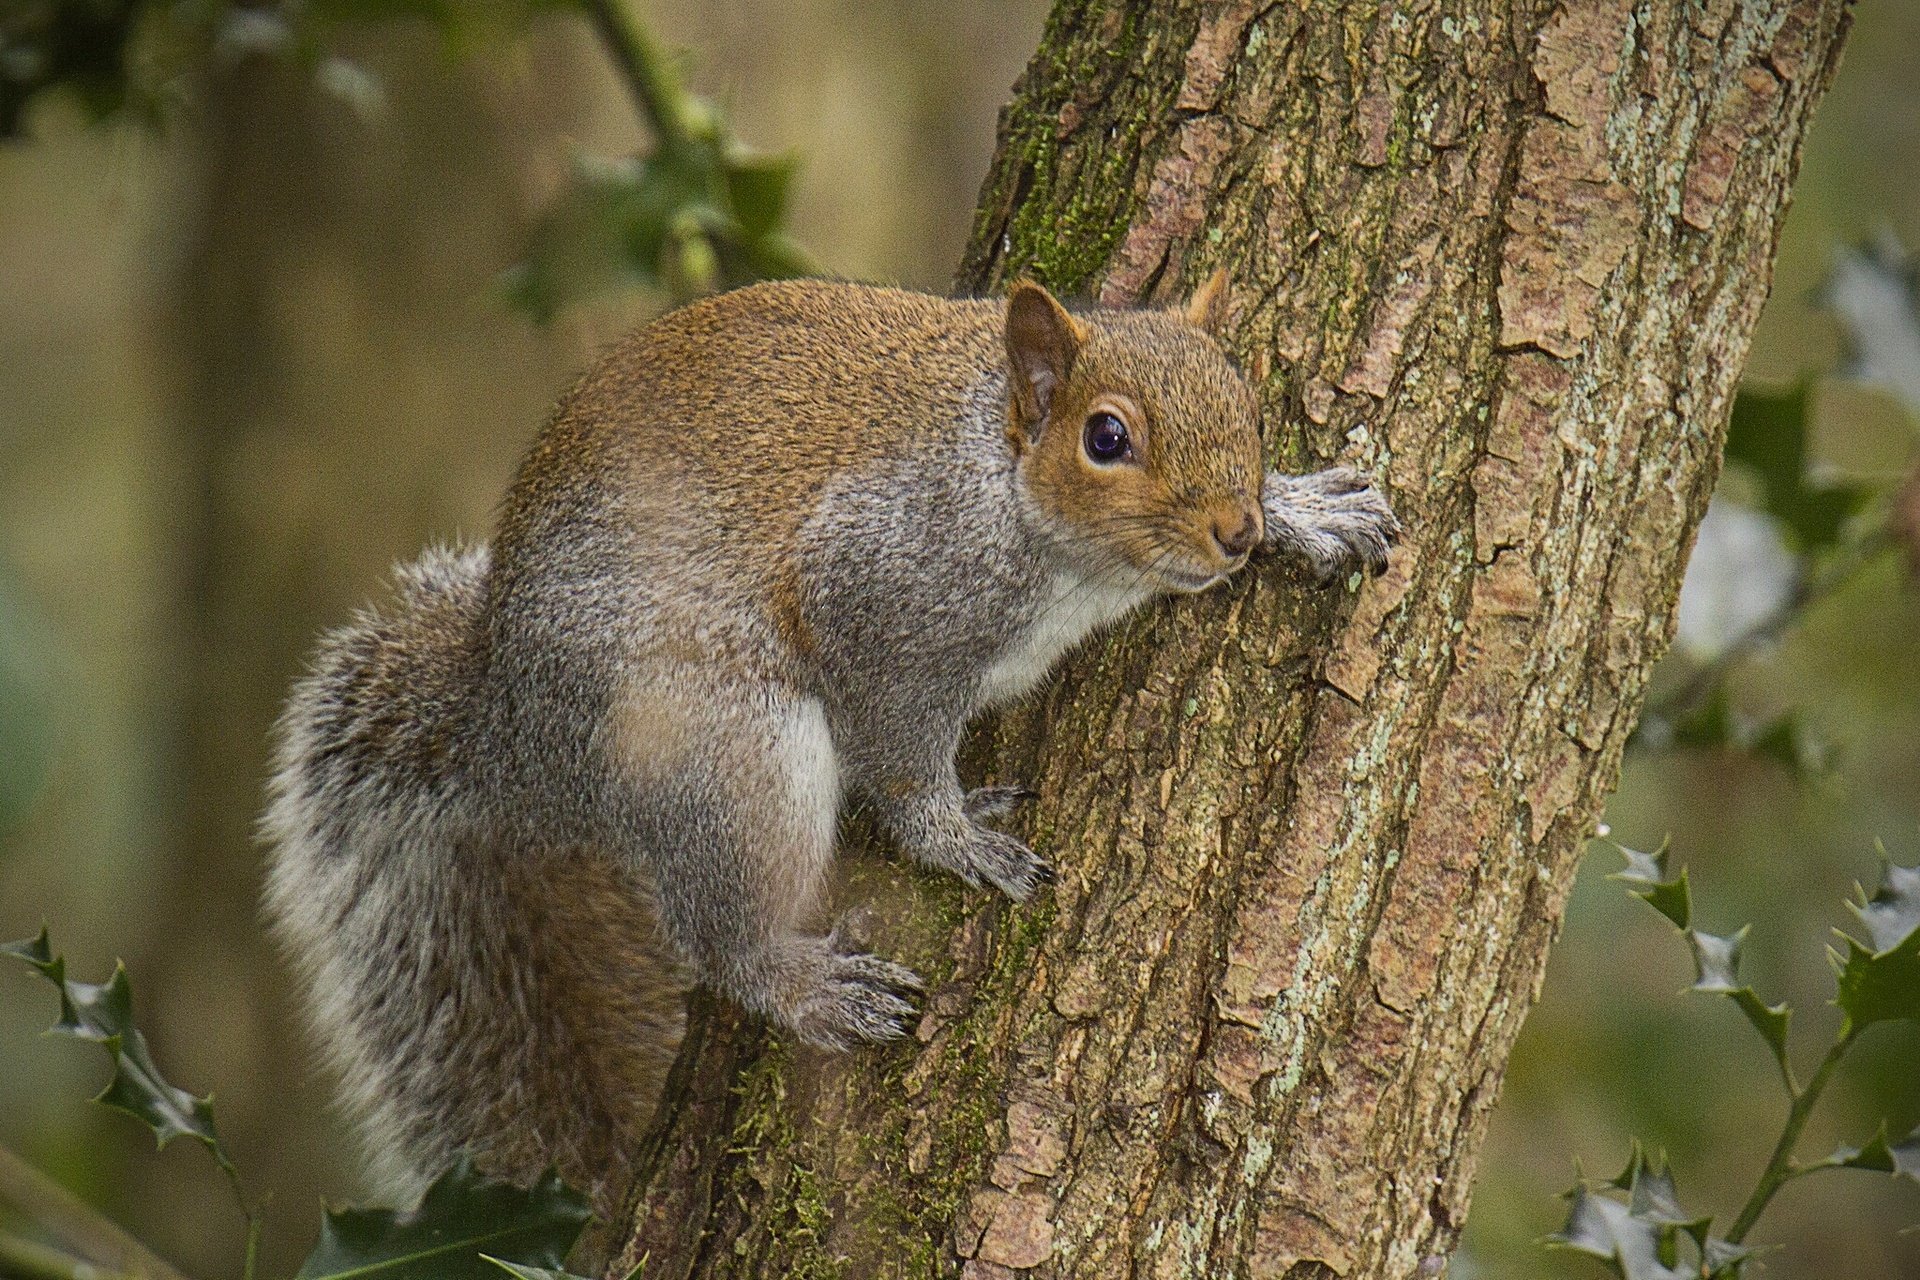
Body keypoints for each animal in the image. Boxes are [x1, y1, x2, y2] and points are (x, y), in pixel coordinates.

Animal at [260, 274, 1399, 1211]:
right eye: (1107, 438)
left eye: (1248, 405)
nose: (1235, 532)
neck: (1005, 484)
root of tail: (513, 733)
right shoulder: (878, 600)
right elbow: (898, 754)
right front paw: (953, 838)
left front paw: (1307, 508)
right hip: (729, 752)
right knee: (717, 932)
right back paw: (801, 982)